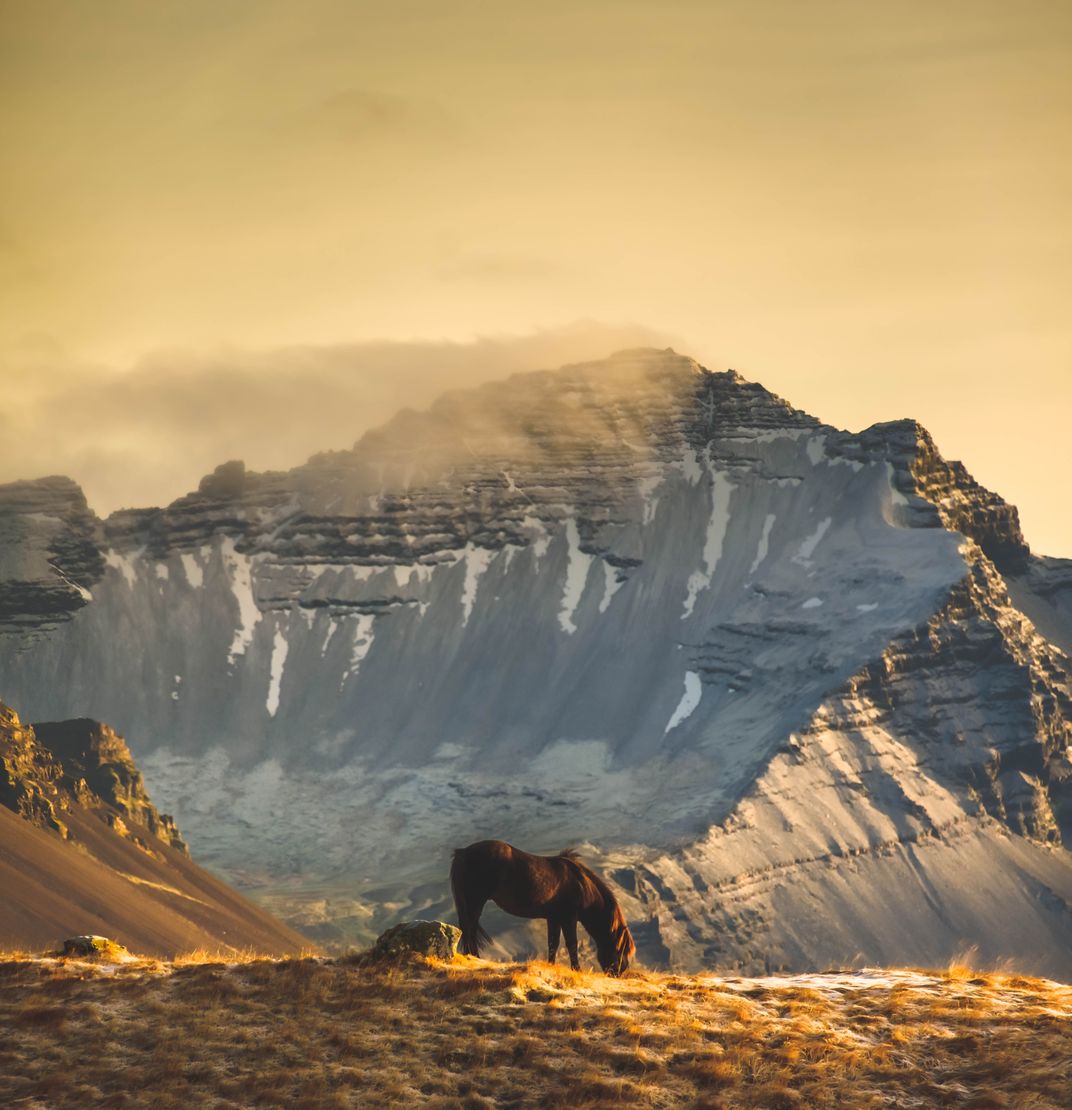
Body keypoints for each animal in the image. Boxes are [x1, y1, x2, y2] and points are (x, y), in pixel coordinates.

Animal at [446, 834, 634, 976]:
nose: (619, 974)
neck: (582, 884)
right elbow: (571, 944)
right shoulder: (569, 917)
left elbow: (553, 943)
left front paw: (551, 965)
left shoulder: (554, 917)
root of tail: (462, 852)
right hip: (475, 901)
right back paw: (475, 957)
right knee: (469, 928)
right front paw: (577, 969)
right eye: (622, 951)